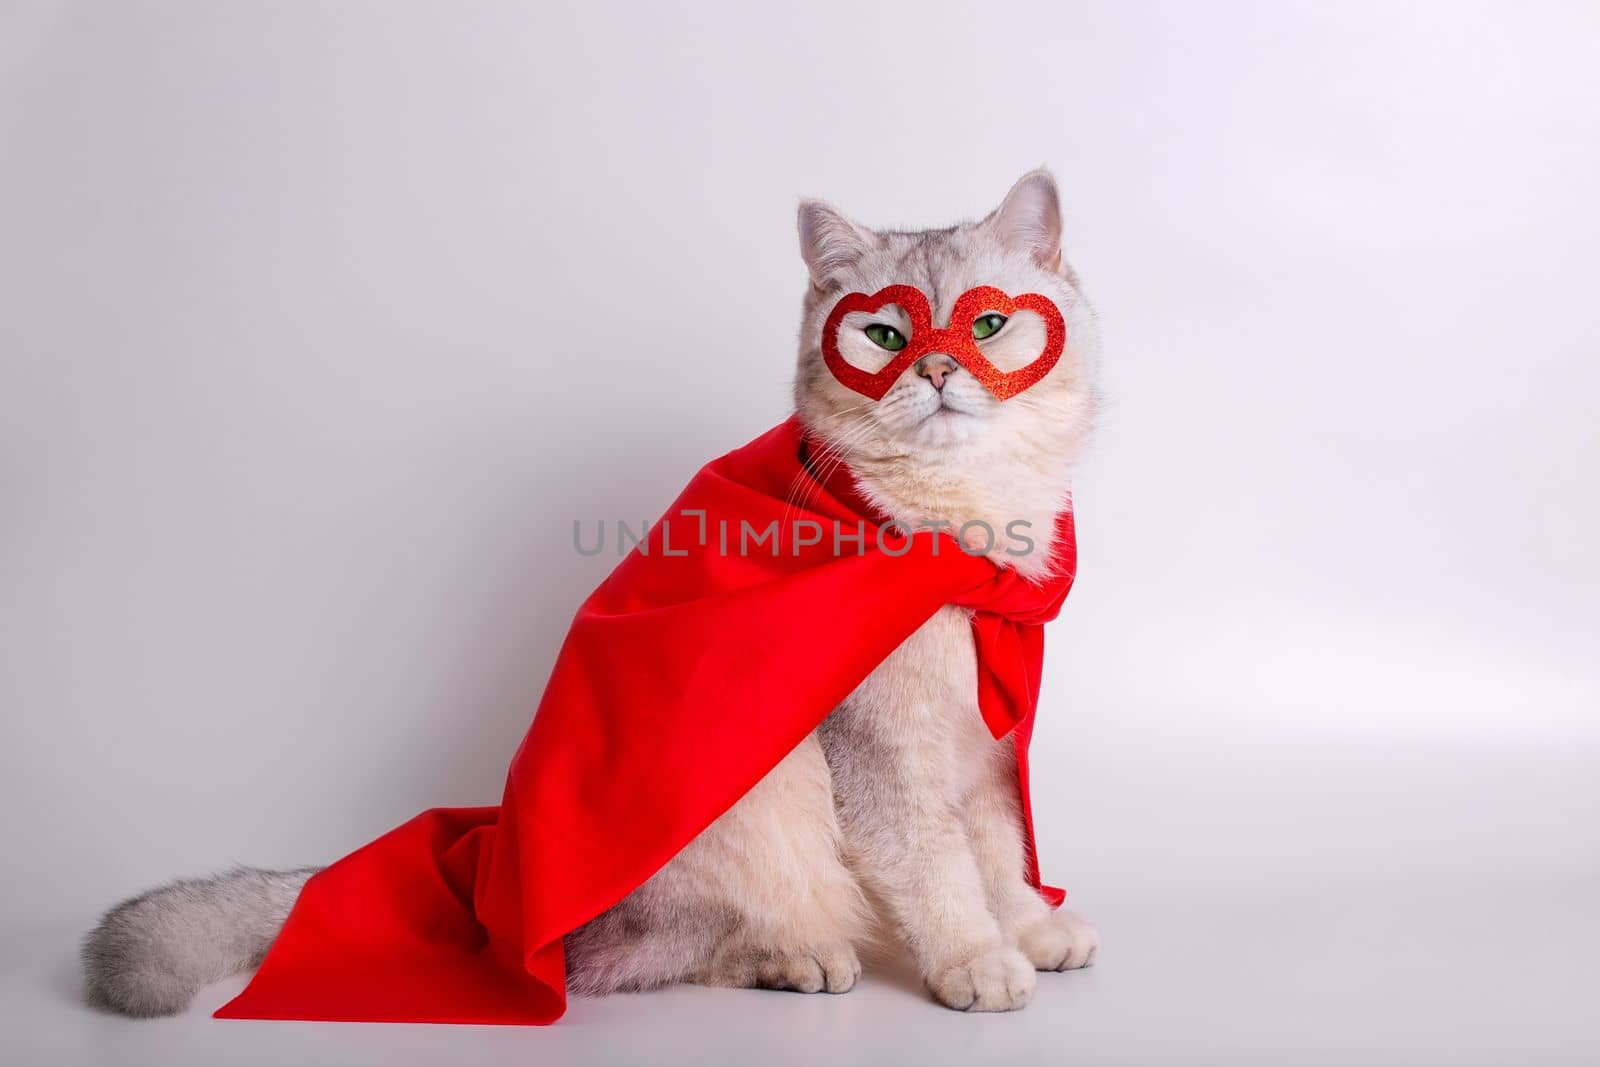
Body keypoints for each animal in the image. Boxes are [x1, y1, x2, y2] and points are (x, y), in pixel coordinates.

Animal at [84, 168, 1100, 1017]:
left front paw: (1028, 928)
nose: (937, 370)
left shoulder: (988, 753)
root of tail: (489, 866)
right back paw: (792, 956)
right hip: (755, 812)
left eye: (986, 326)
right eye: (885, 335)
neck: (957, 535)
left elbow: (1001, 853)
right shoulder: (883, 754)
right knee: (643, 959)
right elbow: (939, 872)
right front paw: (975, 958)